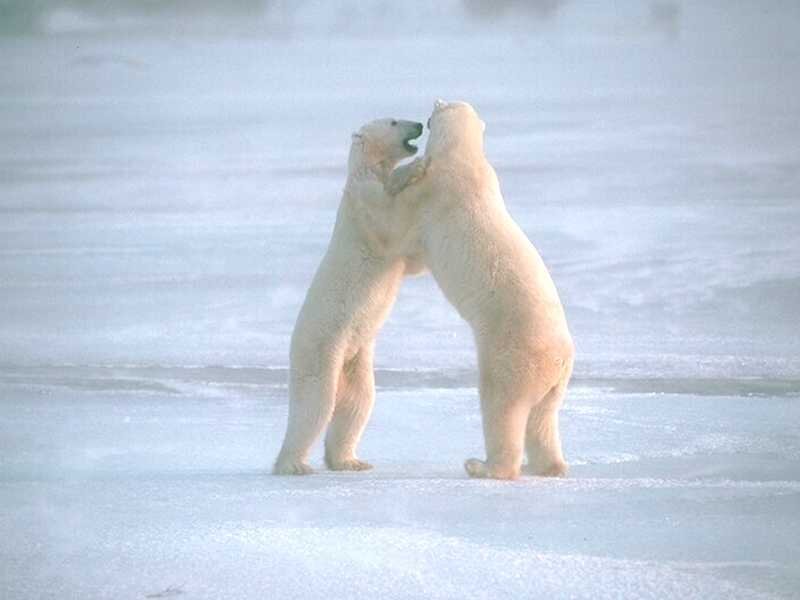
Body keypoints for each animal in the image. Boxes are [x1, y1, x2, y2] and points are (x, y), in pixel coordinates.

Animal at [273, 117, 428, 475]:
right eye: (394, 121)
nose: (418, 124)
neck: (365, 168)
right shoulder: (363, 201)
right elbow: (390, 222)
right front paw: (415, 169)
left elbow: (410, 263)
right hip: (321, 350)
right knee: (315, 404)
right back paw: (293, 465)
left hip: (355, 359)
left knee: (358, 403)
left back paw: (350, 461)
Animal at [386, 100, 574, 480]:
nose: (424, 117)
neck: (464, 157)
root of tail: (560, 359)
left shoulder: (434, 192)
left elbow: (401, 228)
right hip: (553, 386)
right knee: (543, 421)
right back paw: (547, 466)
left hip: (512, 357)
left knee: (502, 406)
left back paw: (482, 465)